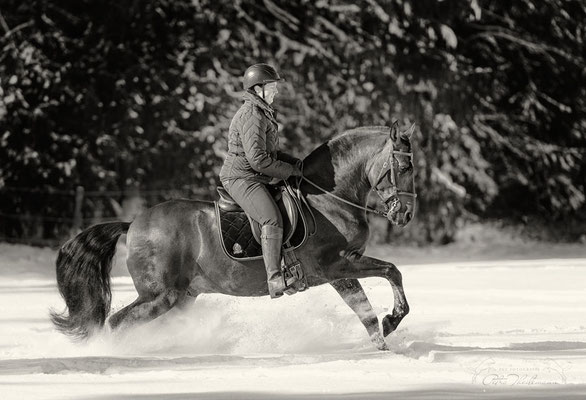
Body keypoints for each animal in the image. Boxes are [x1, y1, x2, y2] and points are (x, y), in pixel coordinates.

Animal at [51, 122, 416, 350]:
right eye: (405, 167)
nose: (406, 215)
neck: (327, 197)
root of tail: (134, 223)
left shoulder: (341, 270)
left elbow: (370, 301)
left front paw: (384, 338)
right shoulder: (336, 265)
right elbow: (387, 277)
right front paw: (392, 323)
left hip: (181, 297)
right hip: (160, 295)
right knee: (117, 323)